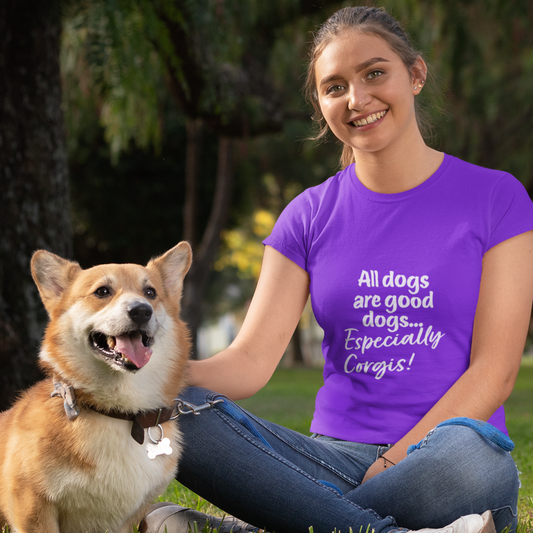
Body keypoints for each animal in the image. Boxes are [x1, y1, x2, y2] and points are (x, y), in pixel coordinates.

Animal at [0, 242, 192, 532]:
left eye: (150, 293)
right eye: (102, 291)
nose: (141, 310)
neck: (116, 413)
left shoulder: (125, 519)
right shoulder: (32, 505)